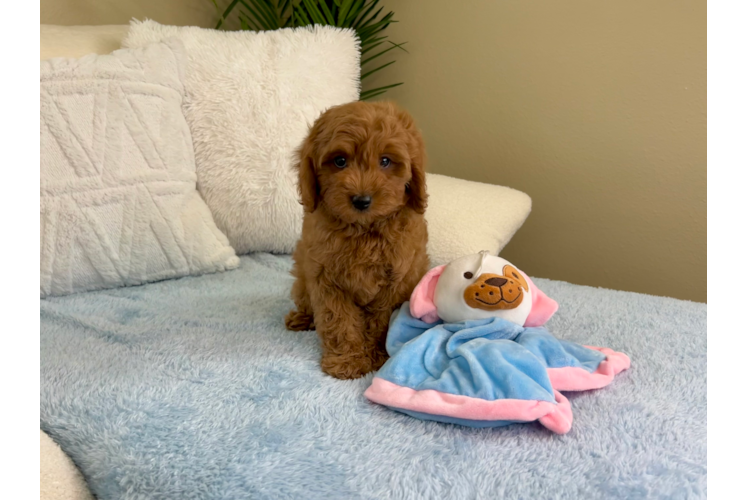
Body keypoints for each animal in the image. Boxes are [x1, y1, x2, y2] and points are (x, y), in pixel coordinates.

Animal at [284, 100, 430, 378]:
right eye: (340, 161)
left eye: (385, 161)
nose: (361, 200)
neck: (363, 231)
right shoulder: (325, 278)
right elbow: (338, 319)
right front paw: (347, 361)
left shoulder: (396, 280)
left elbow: (382, 321)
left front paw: (378, 356)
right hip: (302, 280)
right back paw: (302, 318)